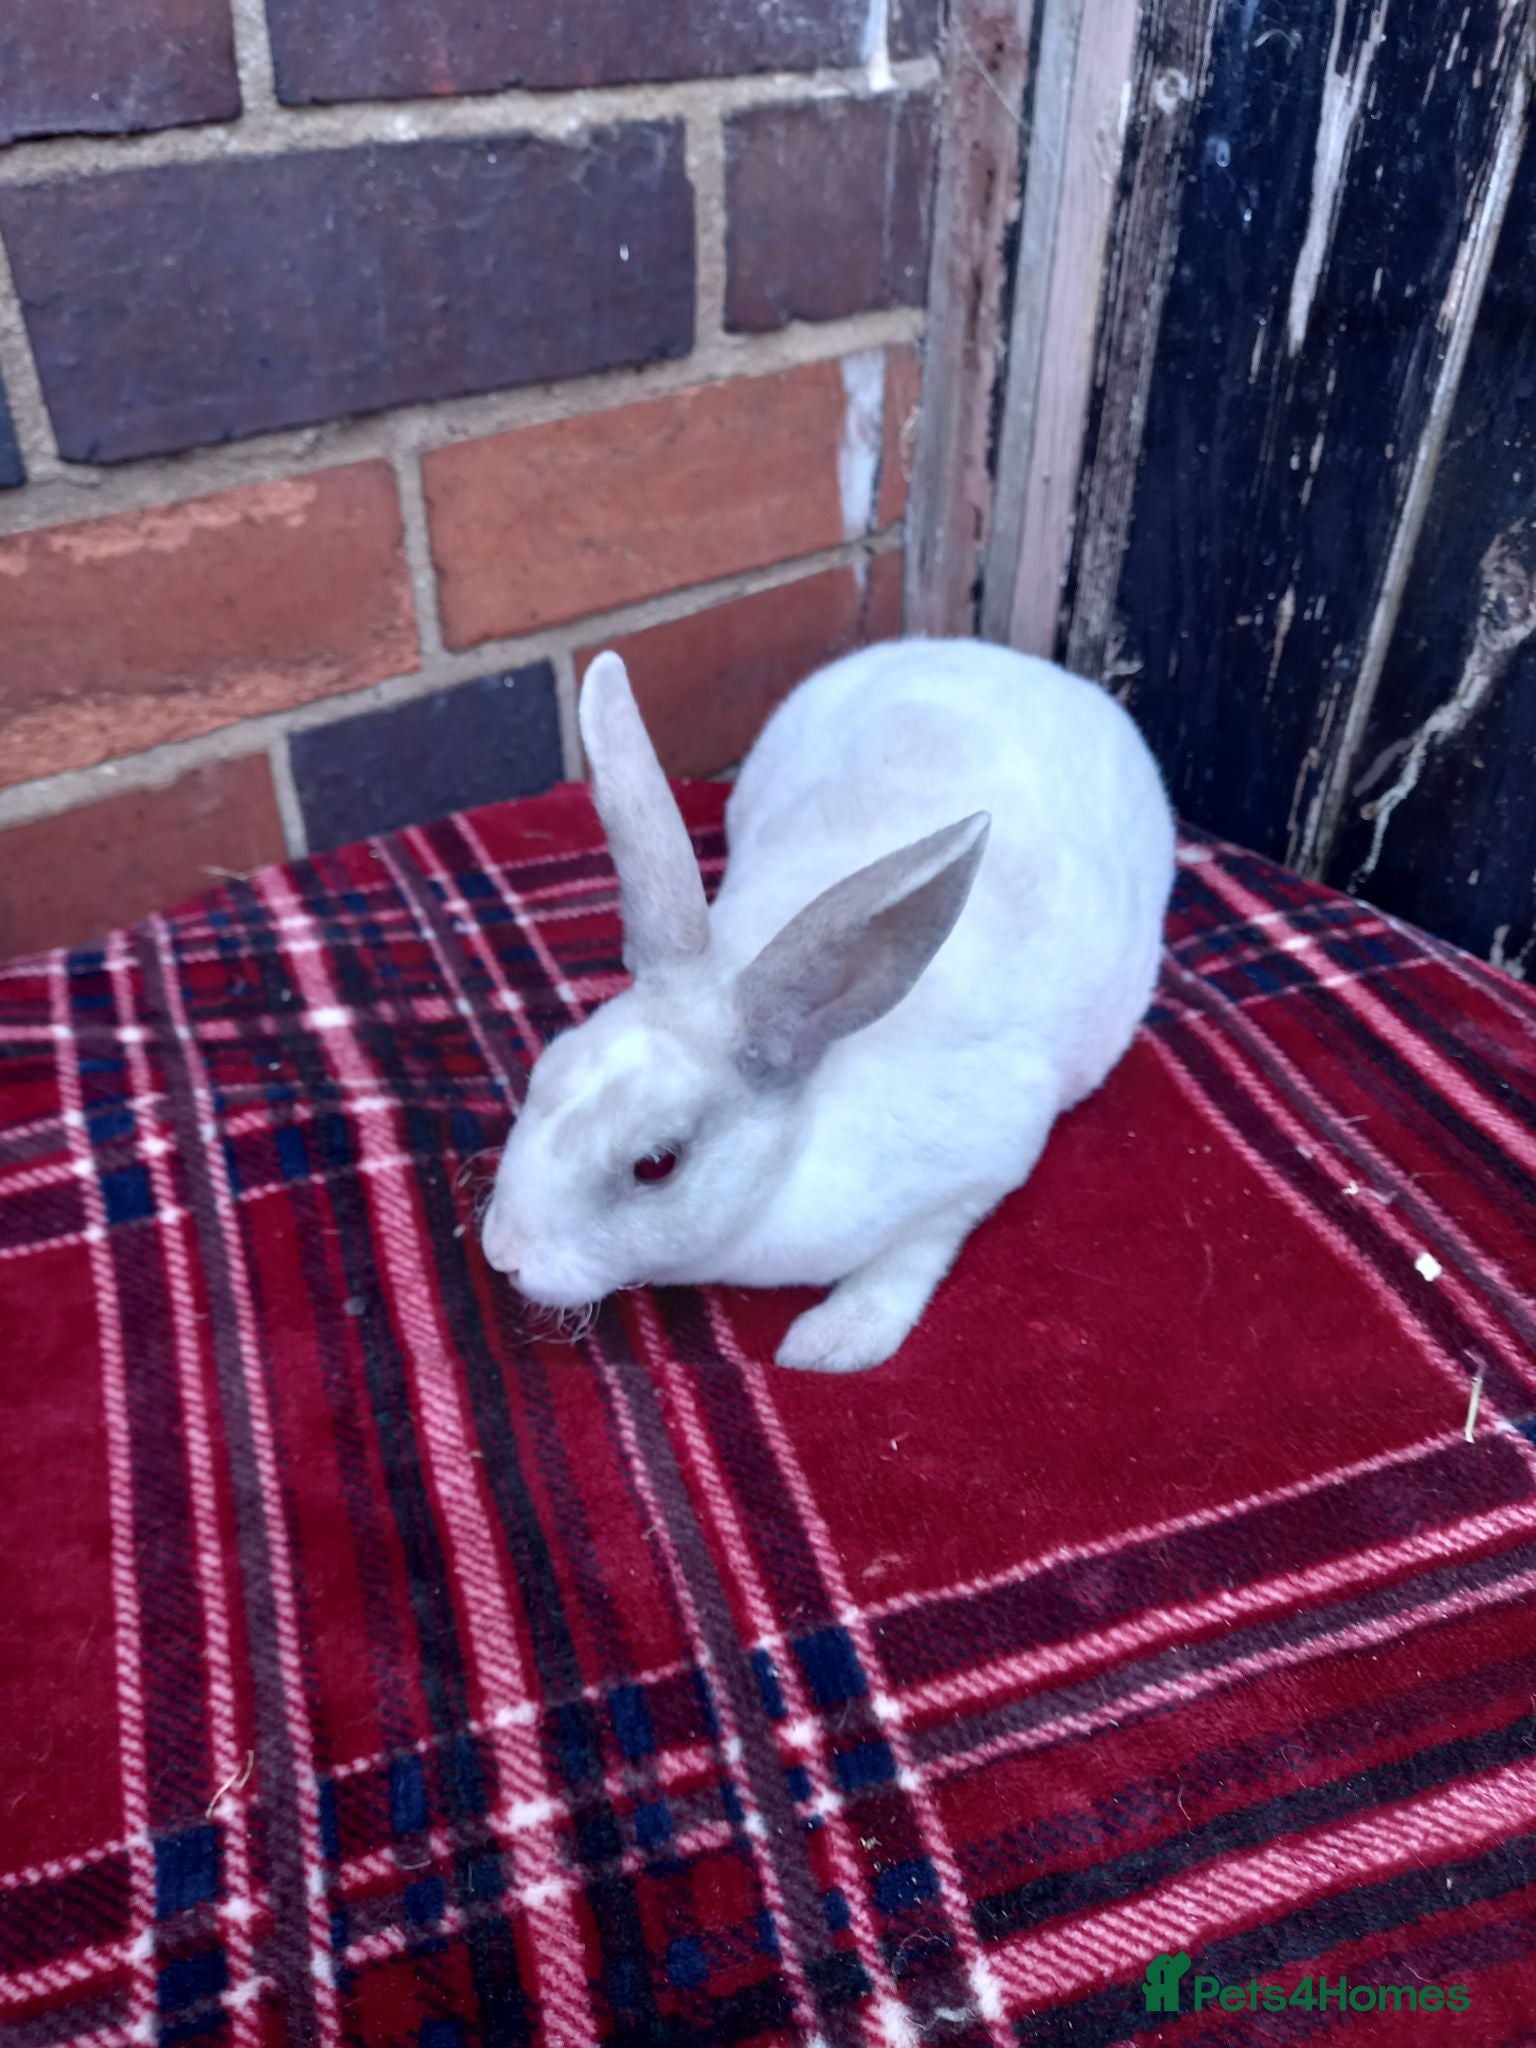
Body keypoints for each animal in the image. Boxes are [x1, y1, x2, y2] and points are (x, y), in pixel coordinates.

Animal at [481, 637, 1175, 1373]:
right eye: (543, 1070)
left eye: (656, 1165)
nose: (502, 1253)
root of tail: (996, 656)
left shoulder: (976, 1176)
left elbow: (910, 1258)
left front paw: (832, 1342)